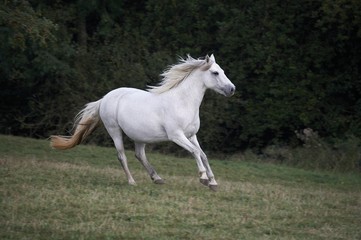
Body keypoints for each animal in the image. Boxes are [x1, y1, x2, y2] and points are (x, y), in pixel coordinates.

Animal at [51, 54, 236, 189]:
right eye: (215, 73)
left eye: (222, 71)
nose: (232, 89)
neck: (182, 102)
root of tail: (105, 98)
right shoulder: (177, 136)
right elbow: (195, 152)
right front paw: (203, 179)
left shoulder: (191, 135)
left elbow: (203, 154)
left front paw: (213, 183)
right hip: (114, 131)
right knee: (122, 156)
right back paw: (132, 181)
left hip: (139, 136)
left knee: (139, 155)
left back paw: (157, 178)